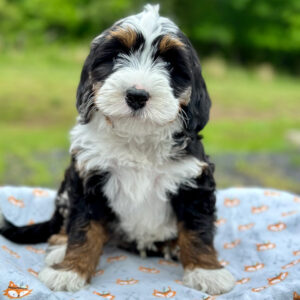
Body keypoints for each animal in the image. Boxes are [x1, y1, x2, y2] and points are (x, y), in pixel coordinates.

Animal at [0, 4, 234, 296]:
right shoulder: (88, 178)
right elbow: (83, 228)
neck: (137, 138)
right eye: (116, 57)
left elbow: (197, 229)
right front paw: (70, 270)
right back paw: (59, 248)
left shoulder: (193, 181)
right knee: (64, 223)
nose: (137, 94)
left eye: (170, 64)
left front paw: (206, 271)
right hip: (66, 189)